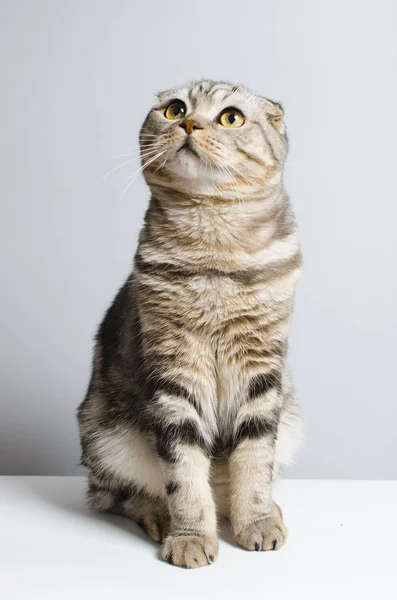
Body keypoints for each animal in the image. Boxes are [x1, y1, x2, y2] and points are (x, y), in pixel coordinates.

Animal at [77, 79, 302, 568]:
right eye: (175, 109)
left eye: (231, 117)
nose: (190, 124)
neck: (215, 252)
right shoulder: (175, 369)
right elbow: (183, 472)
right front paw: (191, 535)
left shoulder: (262, 370)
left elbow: (255, 460)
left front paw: (257, 520)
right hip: (104, 435)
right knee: (120, 494)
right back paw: (160, 516)